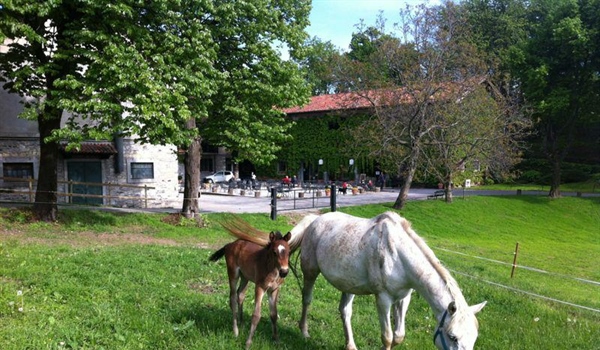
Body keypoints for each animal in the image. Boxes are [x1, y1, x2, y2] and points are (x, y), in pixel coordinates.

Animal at [288, 211, 488, 350]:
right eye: (453, 337)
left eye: (474, 338)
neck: (398, 255)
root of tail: (315, 220)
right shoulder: (383, 299)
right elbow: (387, 336)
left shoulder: (404, 298)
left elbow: (399, 335)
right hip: (310, 272)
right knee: (307, 299)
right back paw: (304, 331)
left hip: (349, 284)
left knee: (345, 311)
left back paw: (350, 345)